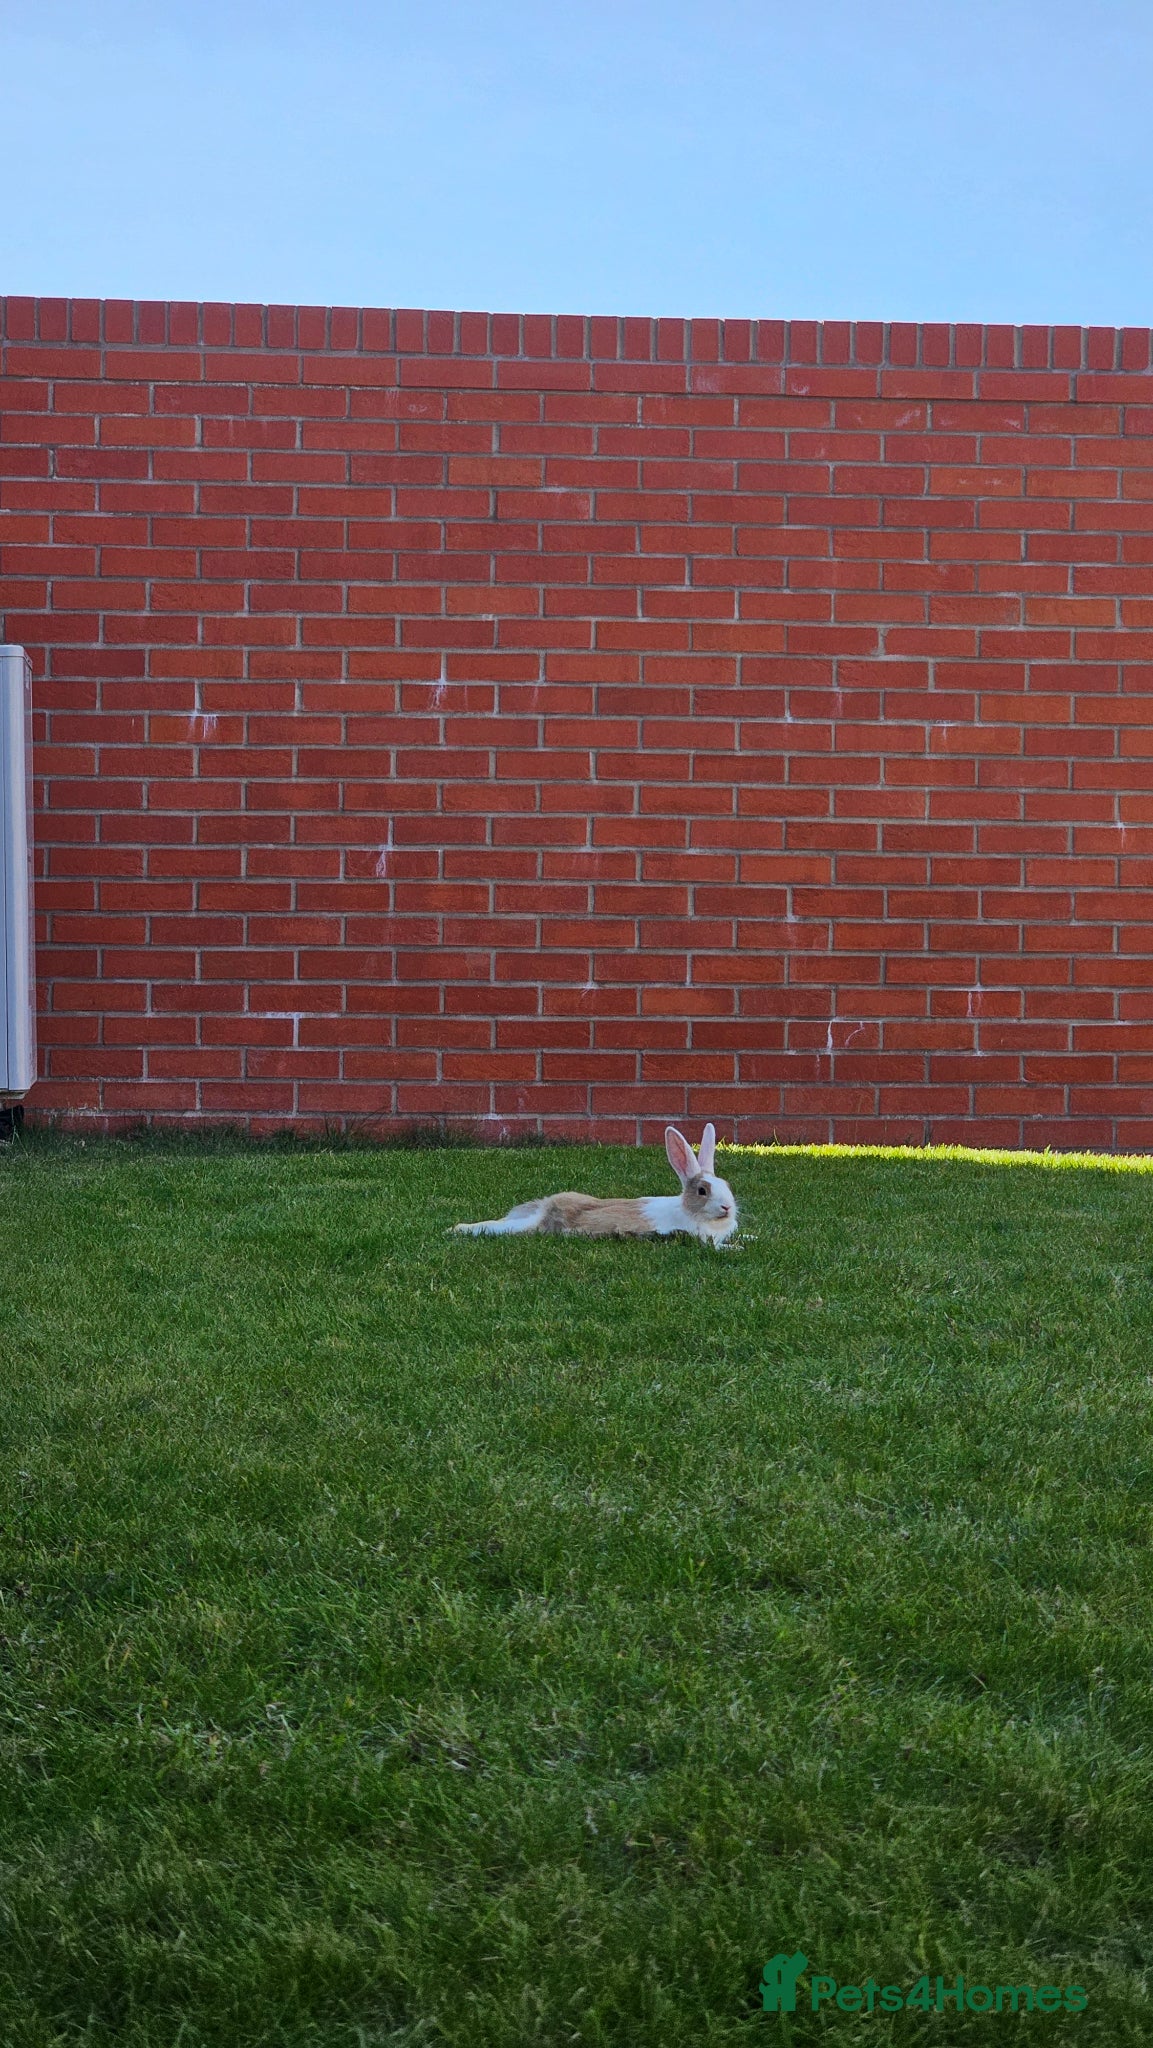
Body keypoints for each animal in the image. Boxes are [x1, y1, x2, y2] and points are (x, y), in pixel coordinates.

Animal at [452, 1123, 738, 1247]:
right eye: (702, 1191)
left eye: (726, 1184)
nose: (727, 1207)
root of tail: (547, 1208)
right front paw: (735, 1248)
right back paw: (458, 1229)